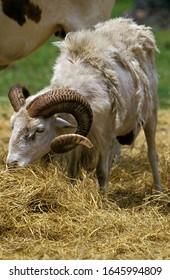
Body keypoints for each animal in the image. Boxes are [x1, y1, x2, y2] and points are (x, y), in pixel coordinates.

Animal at [6, 17, 162, 192]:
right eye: (12, 125)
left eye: (39, 129)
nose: (11, 164)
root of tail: (129, 23)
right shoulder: (75, 138)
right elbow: (71, 171)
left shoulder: (103, 136)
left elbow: (101, 172)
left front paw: (102, 197)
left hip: (150, 114)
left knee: (152, 154)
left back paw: (158, 192)